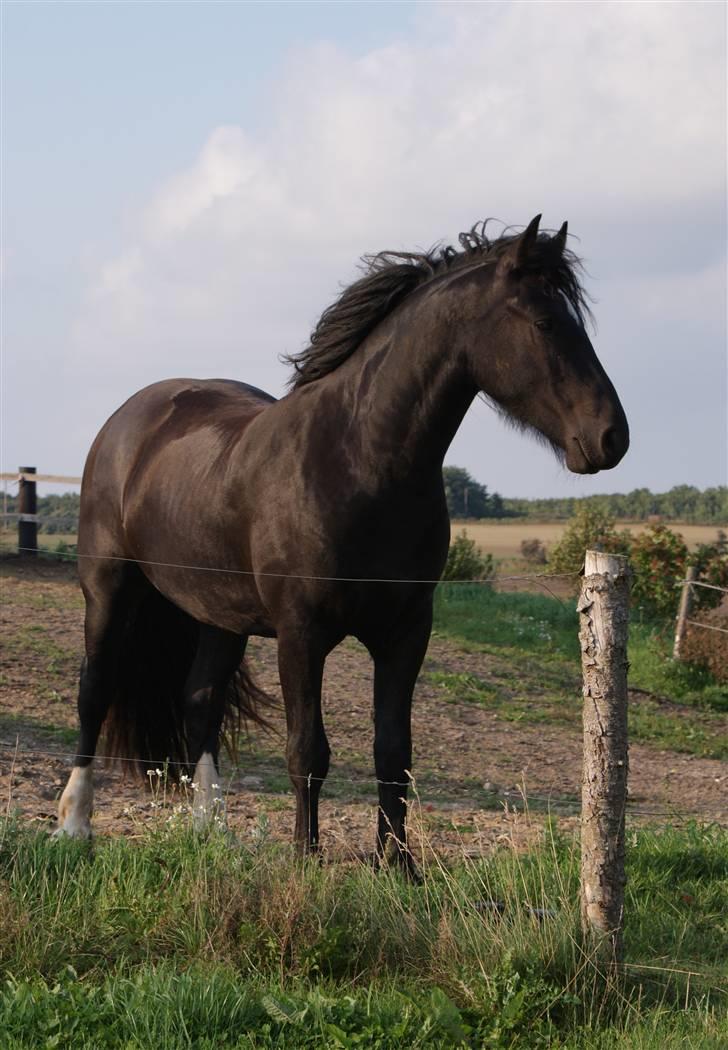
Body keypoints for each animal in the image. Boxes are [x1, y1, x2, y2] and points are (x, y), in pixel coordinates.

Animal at [55, 217, 626, 865]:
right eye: (545, 323)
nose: (612, 436)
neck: (358, 460)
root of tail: (131, 418)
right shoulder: (301, 634)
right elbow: (308, 749)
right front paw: (305, 861)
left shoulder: (406, 632)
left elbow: (393, 752)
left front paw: (397, 865)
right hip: (109, 587)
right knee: (94, 690)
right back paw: (74, 825)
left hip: (219, 616)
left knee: (200, 703)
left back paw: (212, 833)